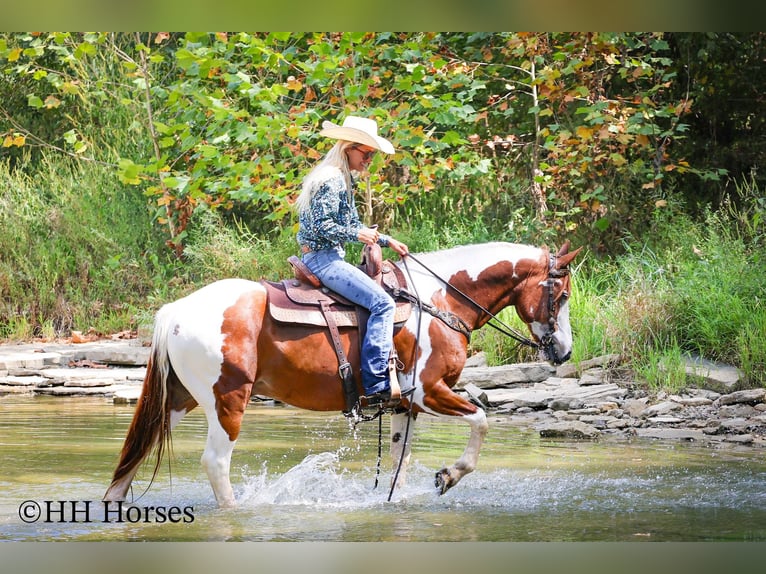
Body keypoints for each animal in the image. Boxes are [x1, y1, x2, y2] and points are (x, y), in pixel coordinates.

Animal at [104, 240, 581, 507]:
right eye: (561, 295)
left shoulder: (405, 406)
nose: (564, 350)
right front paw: (449, 475)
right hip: (227, 401)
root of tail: (176, 310)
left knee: (137, 451)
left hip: (178, 399)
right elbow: (481, 419)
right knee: (216, 462)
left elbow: (399, 461)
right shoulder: (427, 392)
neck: (438, 301)